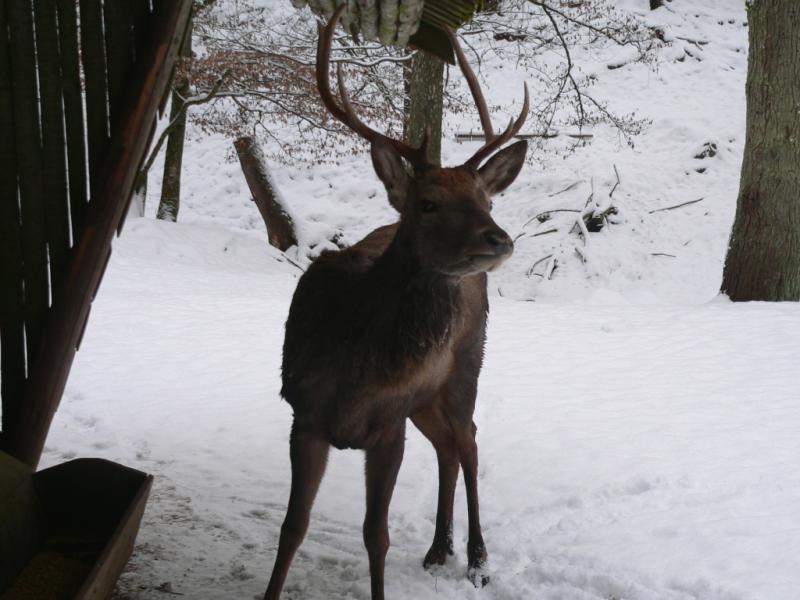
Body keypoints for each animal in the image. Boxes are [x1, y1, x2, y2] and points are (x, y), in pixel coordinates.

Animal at [264, 5, 529, 600]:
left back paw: (477, 560)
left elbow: (375, 536)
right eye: (427, 203)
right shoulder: (304, 416)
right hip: (424, 400)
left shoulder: (387, 427)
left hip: (465, 367)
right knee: (449, 447)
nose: (499, 238)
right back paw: (438, 549)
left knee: (469, 440)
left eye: (485, 199)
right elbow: (292, 527)